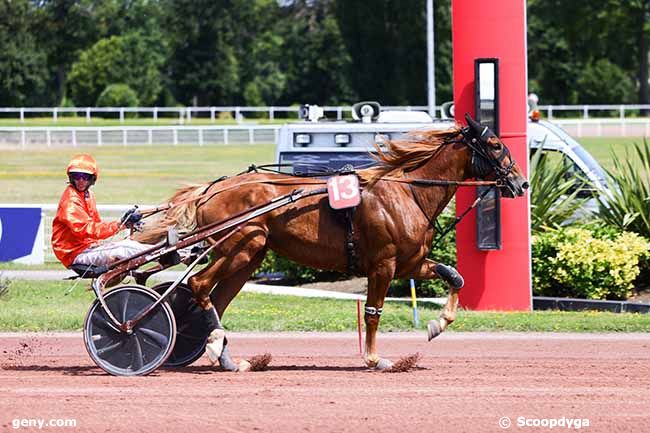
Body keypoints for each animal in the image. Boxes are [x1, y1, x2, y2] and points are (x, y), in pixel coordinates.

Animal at [137, 113, 528, 370]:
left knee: (217, 298)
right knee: (200, 286)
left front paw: (436, 324)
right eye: (495, 144)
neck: (407, 192)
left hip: (250, 254)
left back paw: (226, 357)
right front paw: (374, 358)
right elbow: (372, 312)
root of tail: (212, 188)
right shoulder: (383, 264)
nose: (521, 183)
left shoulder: (410, 262)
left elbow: (455, 277)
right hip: (239, 245)